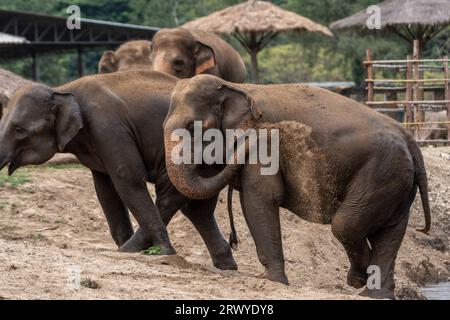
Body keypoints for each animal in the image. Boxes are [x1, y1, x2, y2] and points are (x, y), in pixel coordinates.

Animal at [0, 71, 237, 272]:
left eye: (19, 130)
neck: (61, 89)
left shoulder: (108, 126)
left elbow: (127, 177)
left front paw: (161, 253)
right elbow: (105, 190)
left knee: (172, 196)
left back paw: (141, 251)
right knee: (198, 209)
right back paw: (225, 266)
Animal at [163, 75, 430, 300]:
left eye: (191, 126)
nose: (251, 139)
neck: (236, 86)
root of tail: (410, 140)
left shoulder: (265, 151)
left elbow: (260, 199)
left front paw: (270, 280)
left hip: (381, 175)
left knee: (347, 225)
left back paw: (358, 281)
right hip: (395, 184)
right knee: (389, 232)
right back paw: (374, 293)